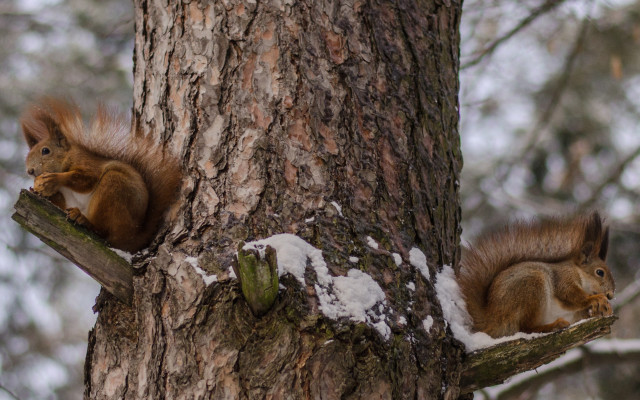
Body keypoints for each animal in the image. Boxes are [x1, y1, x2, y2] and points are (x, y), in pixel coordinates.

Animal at [21, 98, 181, 253]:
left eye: (45, 151)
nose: (30, 171)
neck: (66, 158)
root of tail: (133, 238)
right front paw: (37, 190)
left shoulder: (87, 164)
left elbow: (87, 179)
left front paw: (54, 179)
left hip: (114, 187)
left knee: (103, 231)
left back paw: (85, 221)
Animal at [457, 212, 615, 338]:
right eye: (600, 272)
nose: (610, 295)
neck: (578, 272)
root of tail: (492, 318)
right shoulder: (563, 277)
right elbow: (571, 294)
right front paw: (596, 299)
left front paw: (602, 309)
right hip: (532, 287)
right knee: (526, 328)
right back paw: (555, 325)